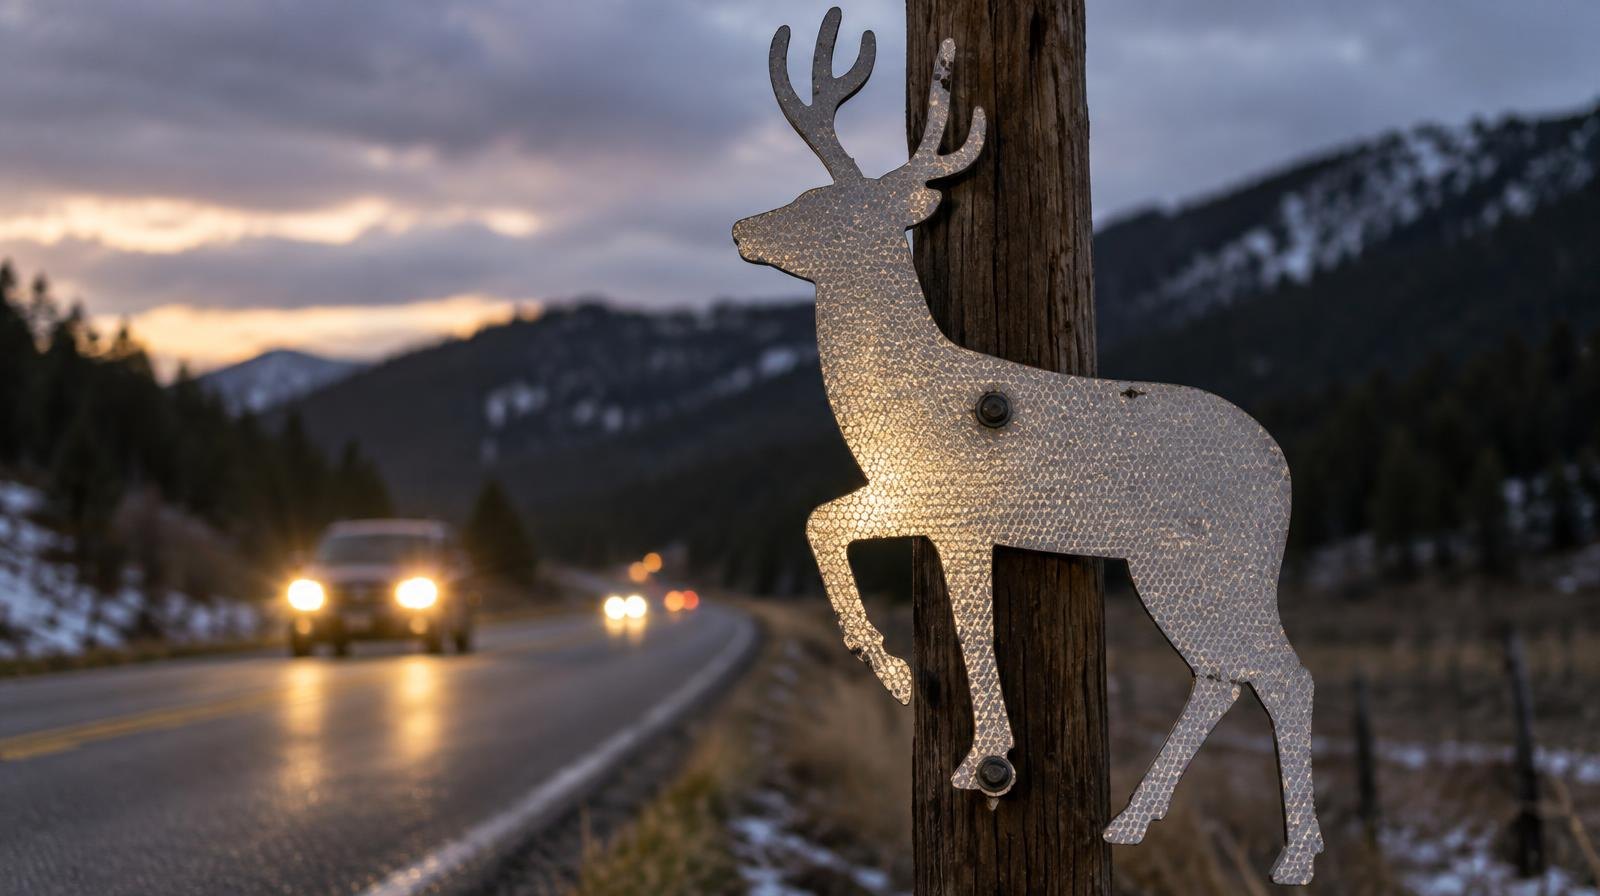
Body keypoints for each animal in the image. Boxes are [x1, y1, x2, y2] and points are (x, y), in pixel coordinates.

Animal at [733, 8, 1323, 885]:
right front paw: (964, 731)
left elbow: (850, 546)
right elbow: (907, 581)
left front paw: (925, 702)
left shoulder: (943, 503)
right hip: (1189, 569)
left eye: (813, 201)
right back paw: (1132, 820)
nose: (741, 228)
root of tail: (1281, 470)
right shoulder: (942, 513)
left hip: (1209, 561)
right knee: (1225, 676)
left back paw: (1294, 855)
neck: (906, 392)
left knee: (1282, 674)